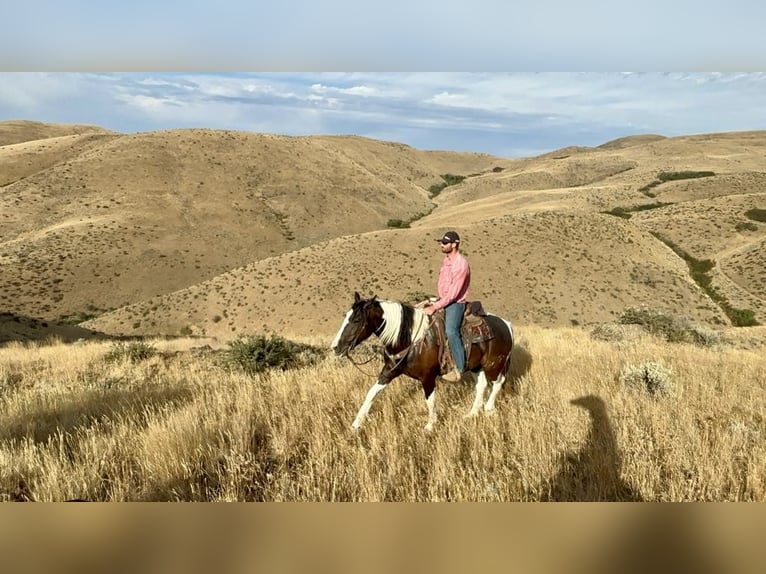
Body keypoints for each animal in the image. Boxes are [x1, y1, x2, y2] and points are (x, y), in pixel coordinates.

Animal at [331, 292, 514, 431]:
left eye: (356, 320)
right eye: (346, 316)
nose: (335, 347)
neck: (409, 337)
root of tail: (506, 324)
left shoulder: (428, 377)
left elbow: (430, 400)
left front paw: (430, 426)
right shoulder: (389, 371)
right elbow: (371, 393)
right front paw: (356, 424)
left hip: (494, 365)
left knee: (497, 383)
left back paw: (488, 409)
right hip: (477, 366)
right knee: (482, 385)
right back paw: (472, 413)